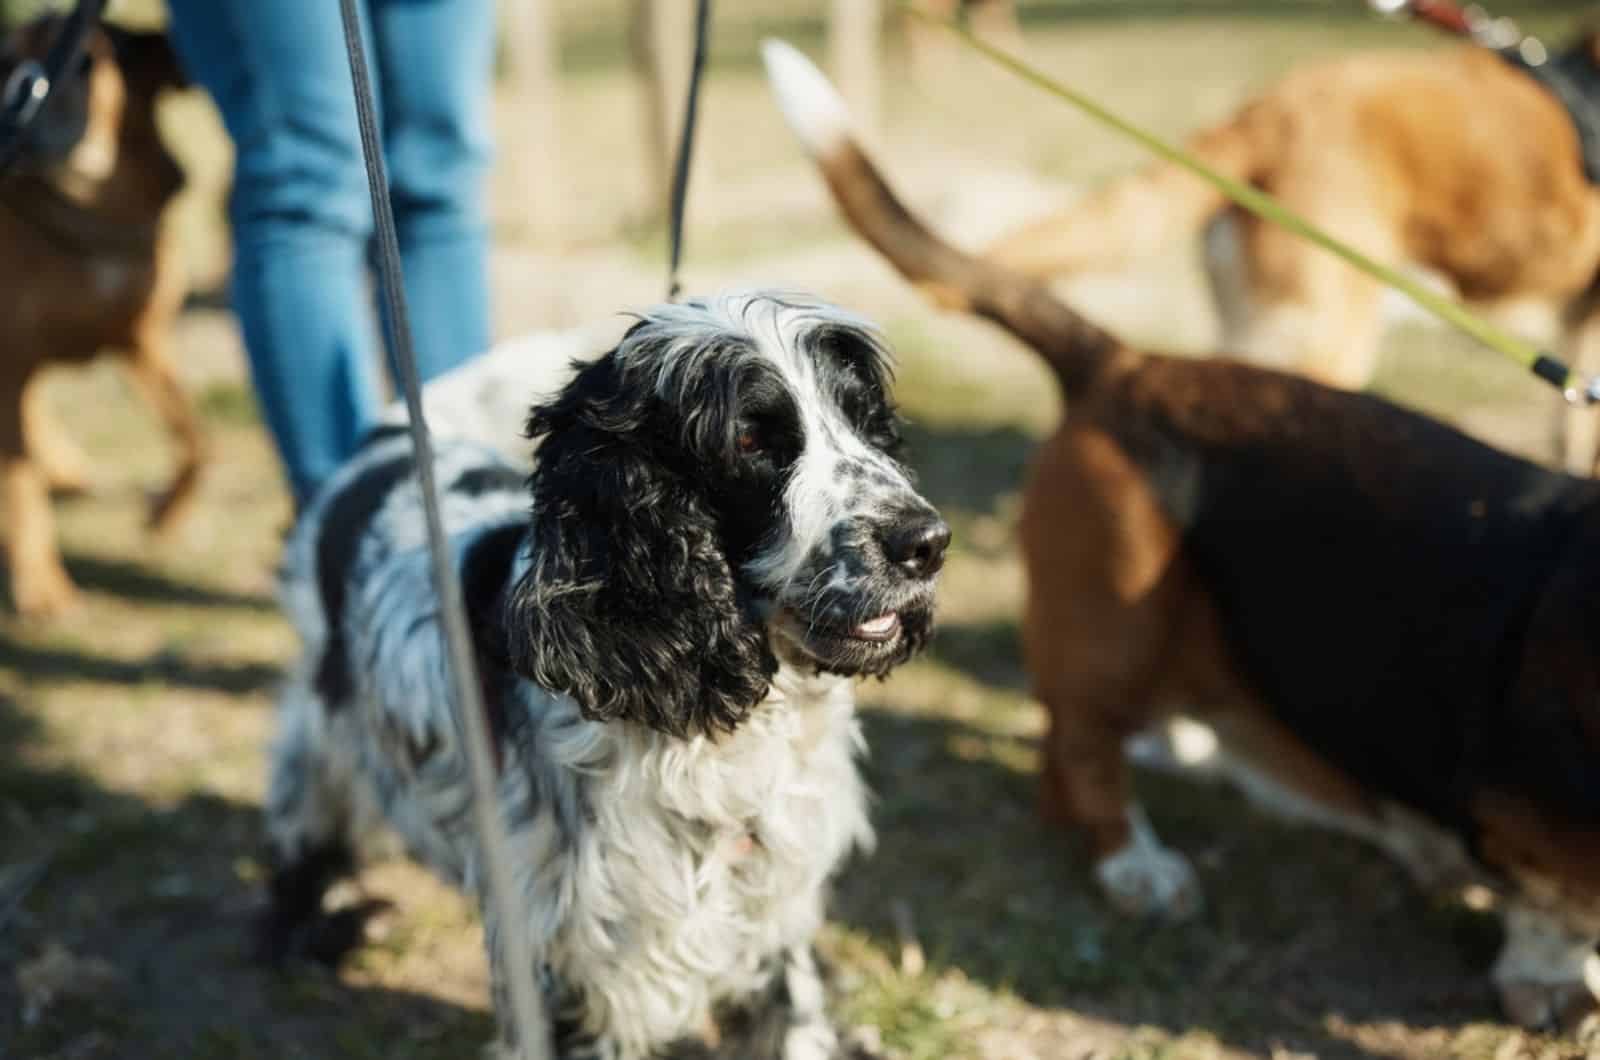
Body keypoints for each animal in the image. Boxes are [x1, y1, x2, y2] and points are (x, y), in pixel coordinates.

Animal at [0, 18, 198, 624]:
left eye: (88, 61)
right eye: (4, 59)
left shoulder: (142, 340)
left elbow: (197, 439)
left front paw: (165, 516)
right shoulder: (10, 361)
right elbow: (20, 486)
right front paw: (45, 592)